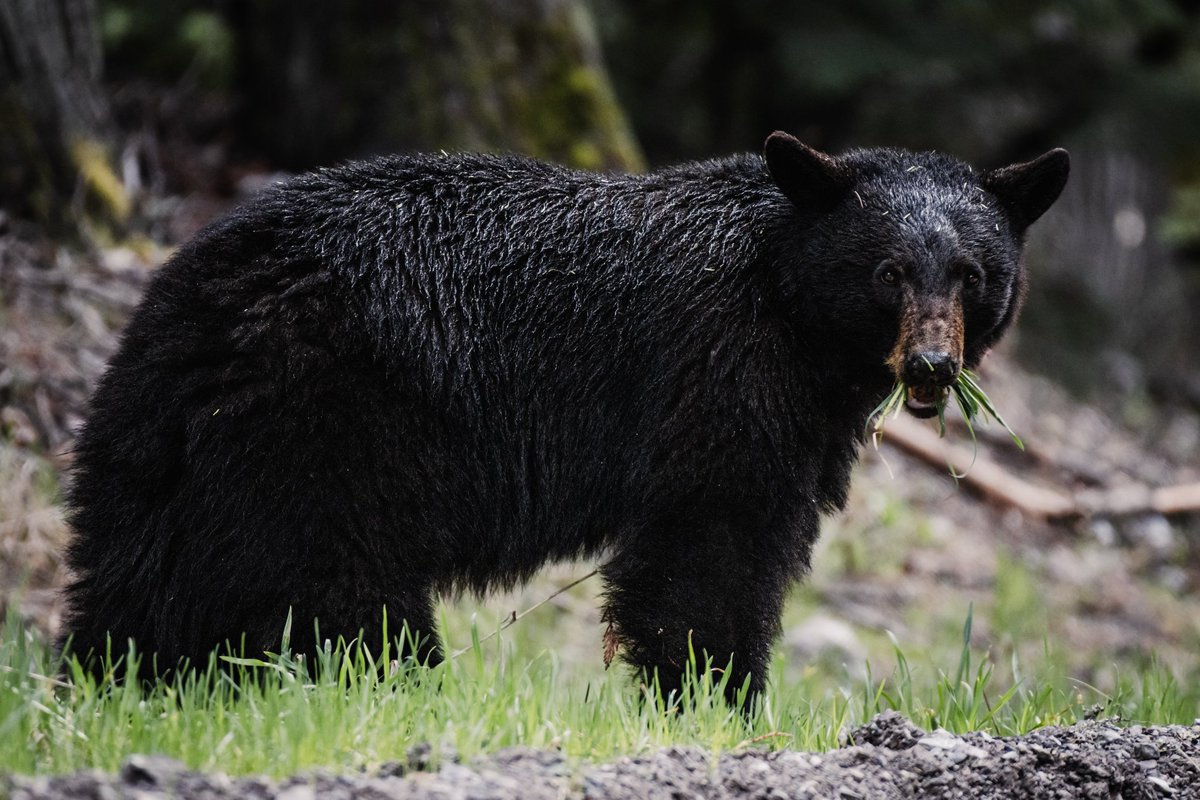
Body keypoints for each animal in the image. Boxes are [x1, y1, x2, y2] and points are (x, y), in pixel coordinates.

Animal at [58, 131, 1070, 700]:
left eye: (972, 275)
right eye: (888, 272)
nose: (932, 365)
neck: (787, 301)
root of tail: (196, 294)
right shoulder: (721, 371)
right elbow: (714, 541)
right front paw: (718, 699)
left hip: (170, 453)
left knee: (139, 578)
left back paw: (111, 688)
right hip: (323, 427)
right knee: (338, 594)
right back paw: (401, 688)